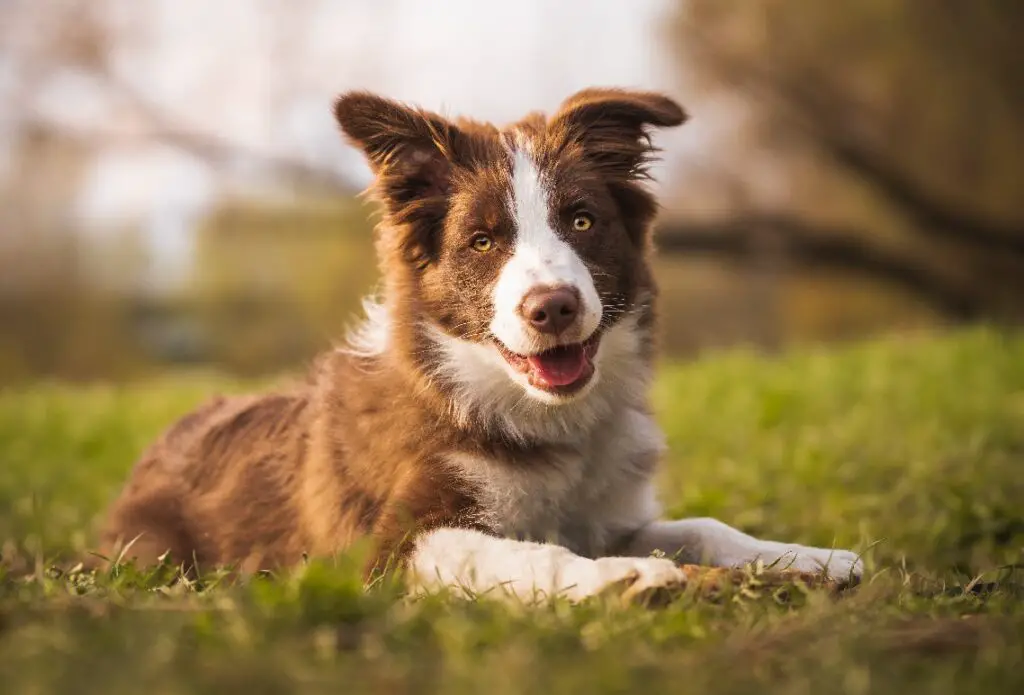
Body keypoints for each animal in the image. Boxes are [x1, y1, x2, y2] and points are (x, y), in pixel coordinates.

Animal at [97, 88, 864, 601]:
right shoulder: (388, 549)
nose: (553, 307)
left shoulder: (603, 513)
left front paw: (810, 558)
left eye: (582, 220)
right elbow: (523, 555)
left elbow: (706, 525)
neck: (539, 419)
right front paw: (626, 577)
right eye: (483, 241)